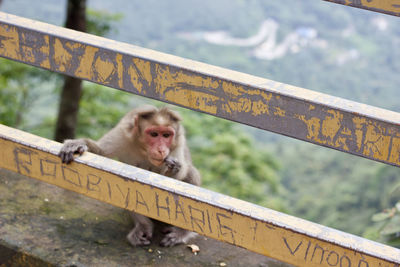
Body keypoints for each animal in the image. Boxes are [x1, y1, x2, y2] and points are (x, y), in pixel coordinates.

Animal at [57, 105, 202, 248]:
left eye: (166, 135)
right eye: (154, 134)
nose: (161, 149)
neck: (143, 150)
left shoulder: (178, 142)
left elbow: (179, 184)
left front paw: (173, 169)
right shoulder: (122, 133)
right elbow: (100, 152)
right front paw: (77, 144)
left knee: (190, 174)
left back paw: (182, 232)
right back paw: (143, 226)